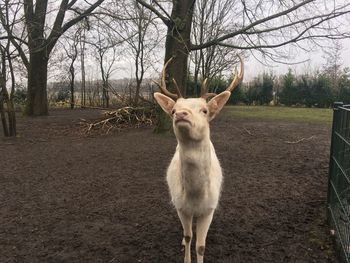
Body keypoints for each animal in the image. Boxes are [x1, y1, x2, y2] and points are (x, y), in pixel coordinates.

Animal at [153, 56, 243, 262]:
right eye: (173, 110)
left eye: (204, 110)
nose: (181, 114)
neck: (195, 195)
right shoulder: (181, 207)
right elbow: (188, 237)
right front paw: (185, 256)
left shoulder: (209, 209)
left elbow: (201, 246)